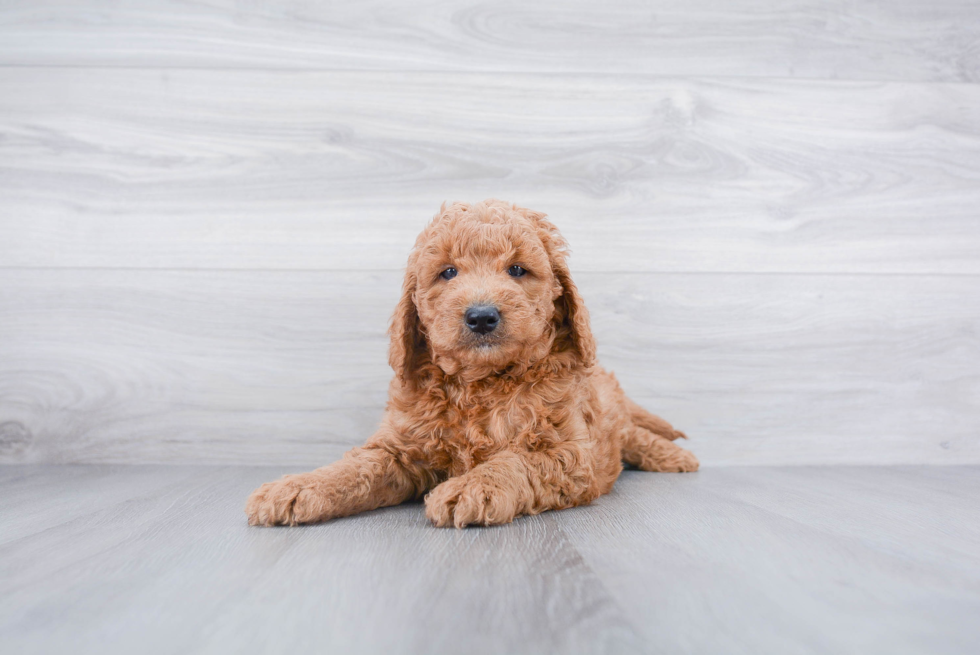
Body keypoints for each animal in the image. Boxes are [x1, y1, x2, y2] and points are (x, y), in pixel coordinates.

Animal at [249, 199, 700, 528]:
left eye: (517, 269)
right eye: (448, 272)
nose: (482, 316)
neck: (480, 383)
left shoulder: (570, 453)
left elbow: (518, 459)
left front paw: (474, 487)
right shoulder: (401, 446)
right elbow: (357, 466)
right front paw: (299, 486)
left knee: (633, 435)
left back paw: (676, 458)